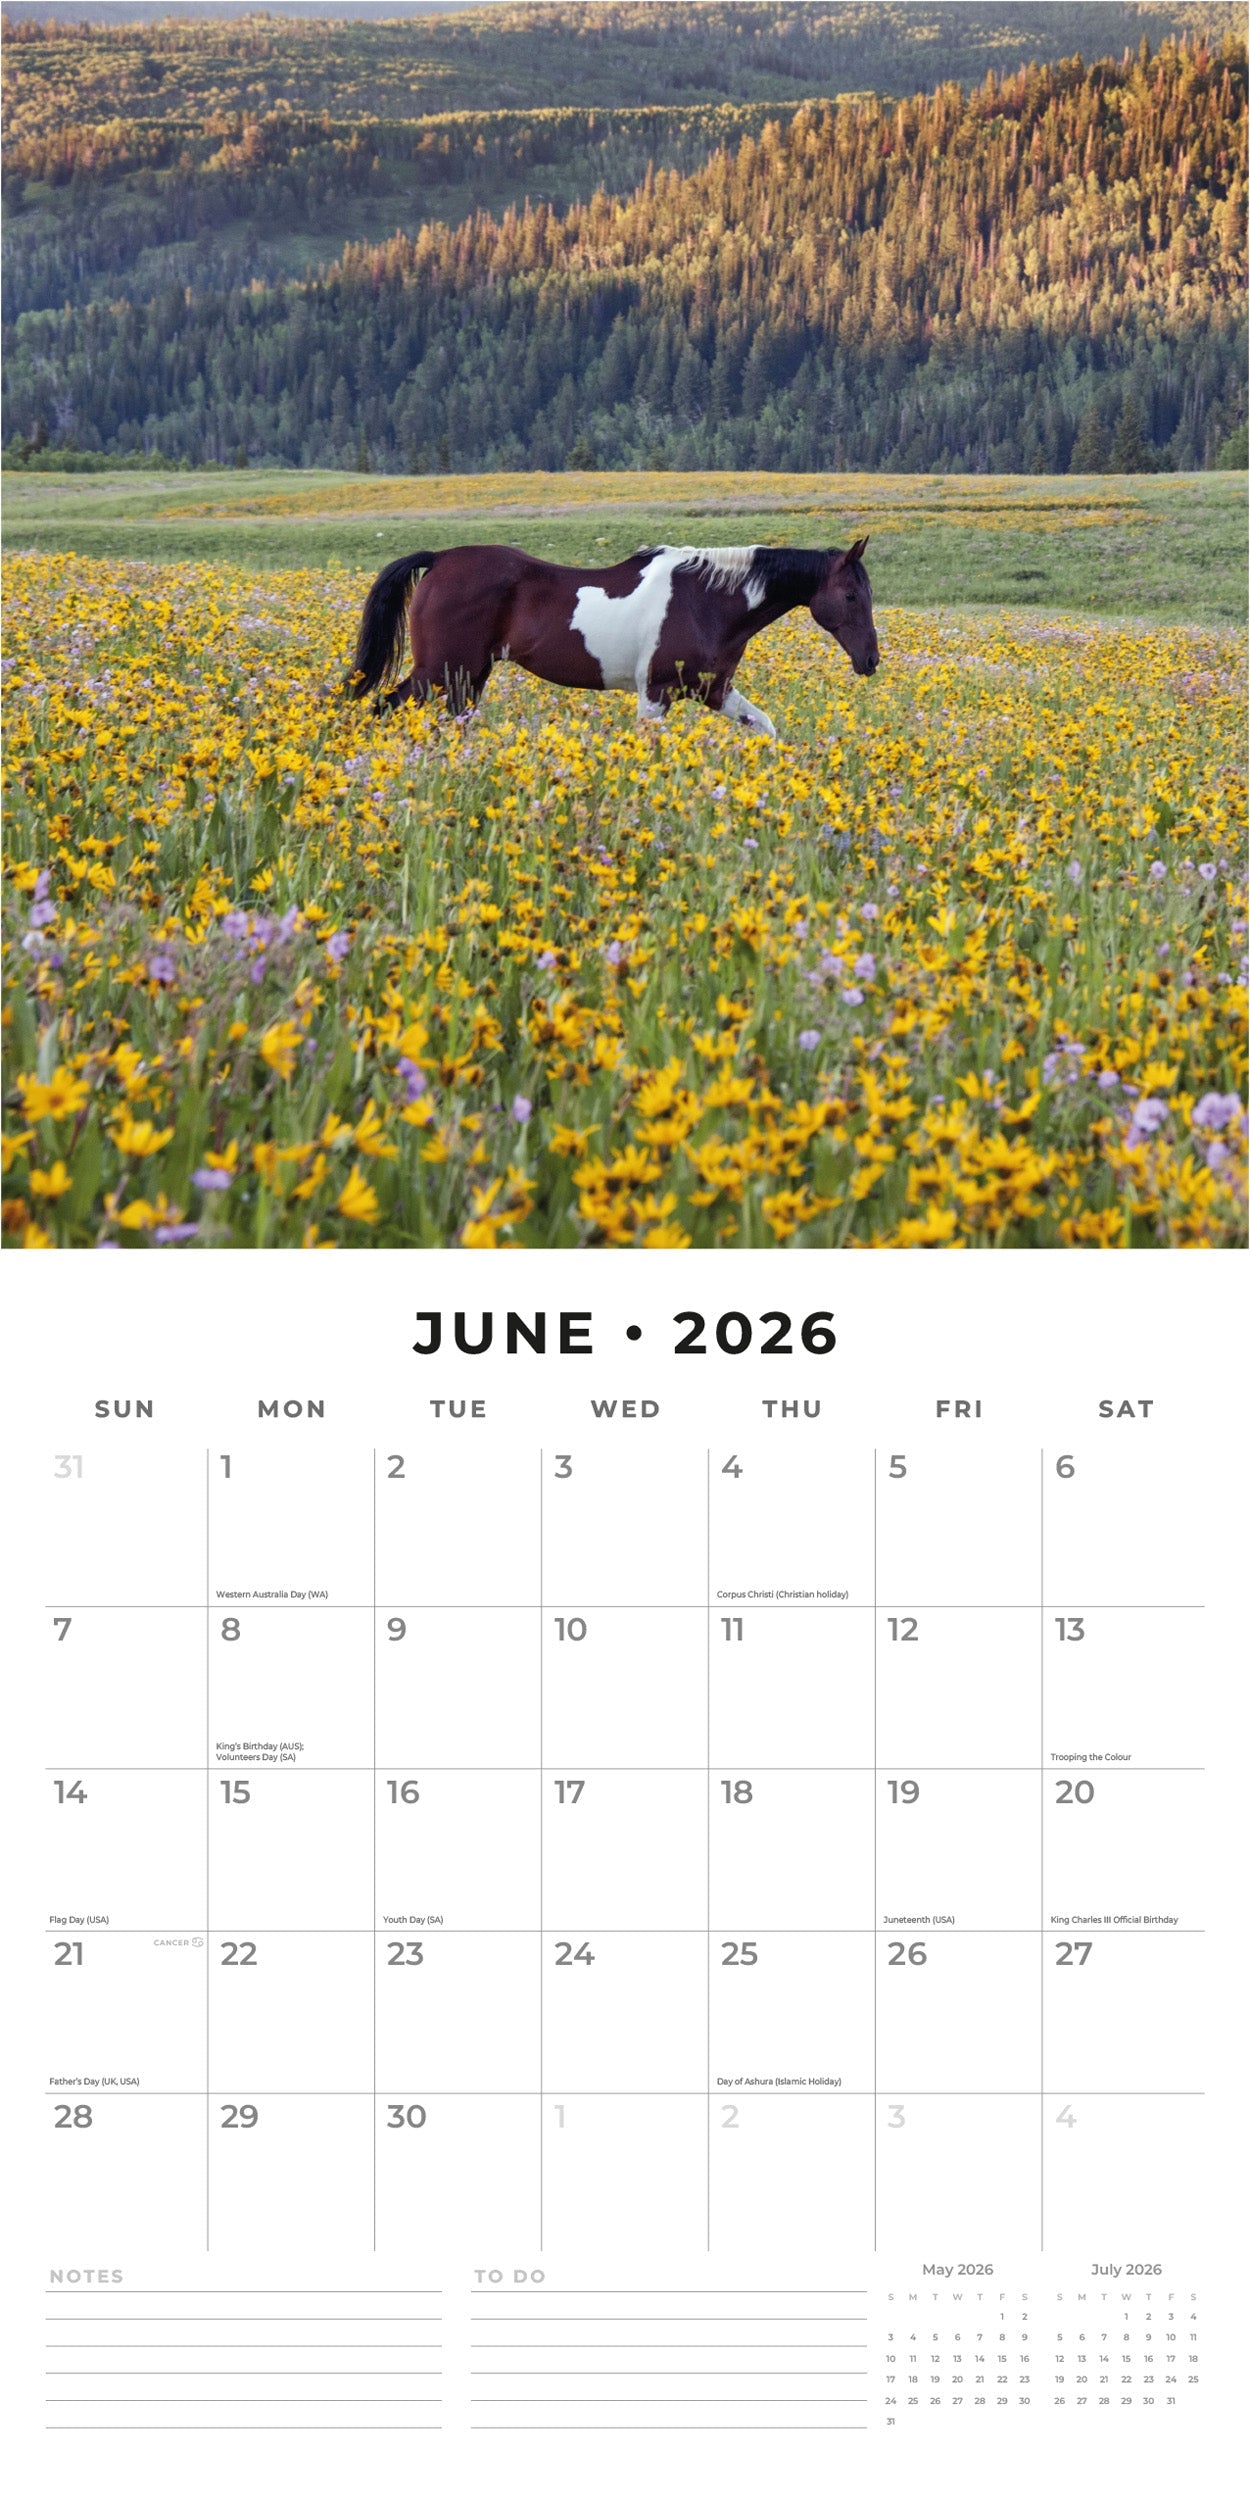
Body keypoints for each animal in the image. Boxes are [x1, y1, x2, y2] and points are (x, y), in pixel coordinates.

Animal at [348, 538, 878, 733]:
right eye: (852, 596)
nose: (870, 660)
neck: (707, 602)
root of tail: (440, 558)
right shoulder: (656, 693)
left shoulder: (714, 691)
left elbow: (763, 726)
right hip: (437, 671)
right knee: (379, 708)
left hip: (467, 677)